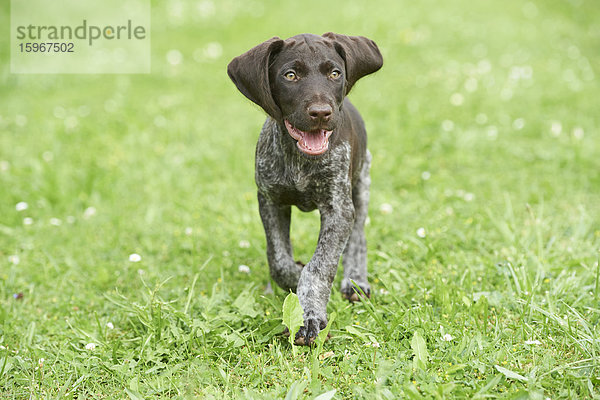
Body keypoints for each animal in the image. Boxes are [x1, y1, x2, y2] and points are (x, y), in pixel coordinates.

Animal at [227, 32, 382, 346]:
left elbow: (319, 267)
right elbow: (279, 260)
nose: (321, 113)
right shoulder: (270, 200)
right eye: (290, 75)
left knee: (358, 236)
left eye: (335, 73)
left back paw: (355, 280)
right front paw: (293, 278)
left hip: (361, 183)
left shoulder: (338, 210)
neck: (300, 161)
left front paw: (310, 316)